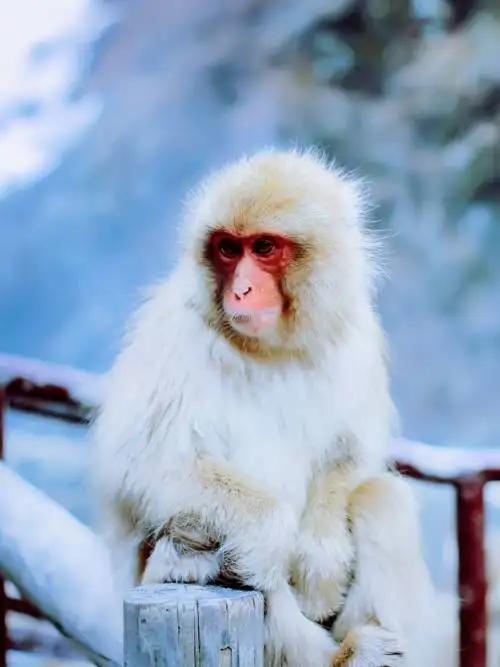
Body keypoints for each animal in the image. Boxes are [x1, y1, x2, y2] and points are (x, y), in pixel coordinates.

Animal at [91, 147, 439, 667]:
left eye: (264, 247)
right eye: (227, 250)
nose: (241, 290)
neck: (271, 349)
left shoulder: (356, 337)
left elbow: (349, 453)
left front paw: (321, 563)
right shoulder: (174, 334)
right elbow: (147, 464)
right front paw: (272, 537)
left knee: (382, 498)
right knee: (231, 554)